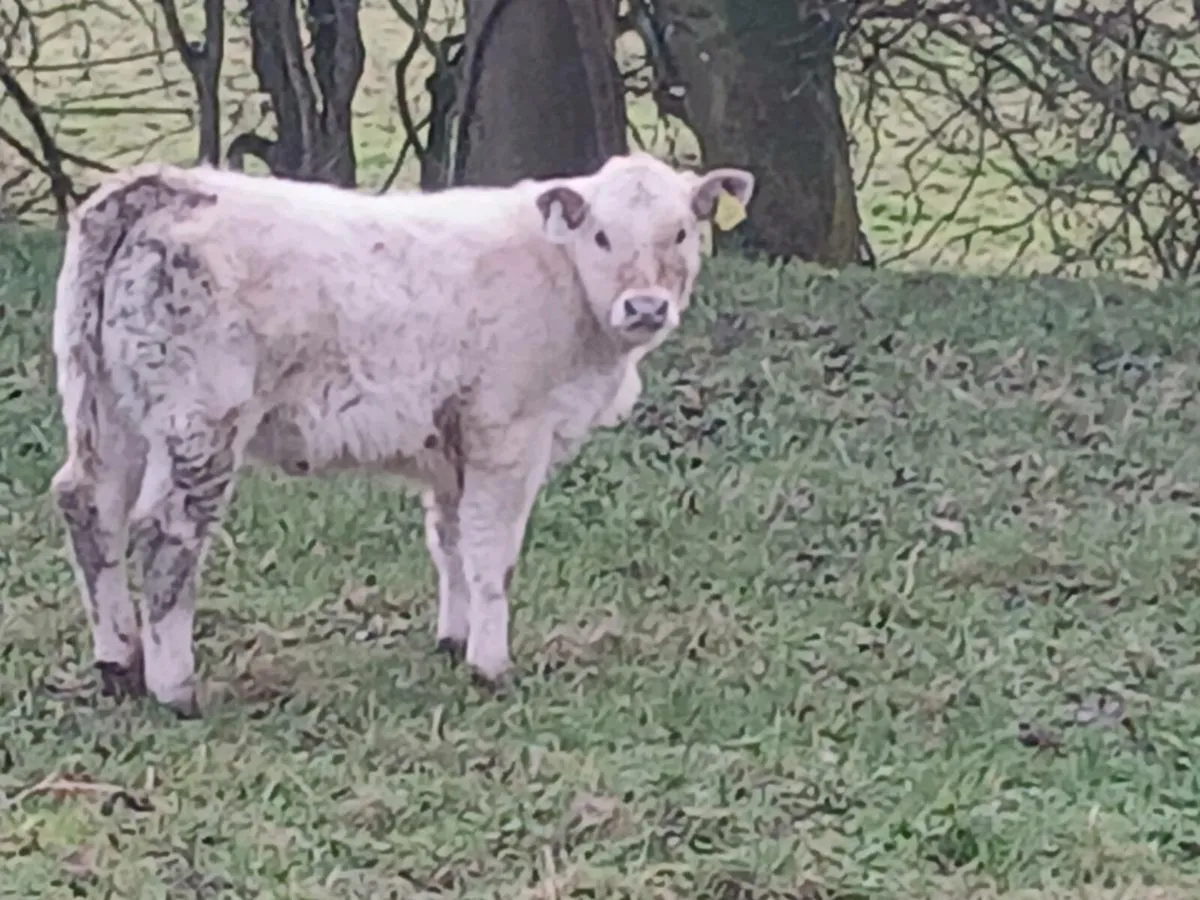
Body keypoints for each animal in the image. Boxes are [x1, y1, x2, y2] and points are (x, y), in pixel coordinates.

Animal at [48, 151, 755, 718]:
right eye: (602, 236)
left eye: (682, 232)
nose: (646, 307)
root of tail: (167, 185)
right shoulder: (508, 434)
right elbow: (491, 553)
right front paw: (491, 665)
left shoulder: (452, 450)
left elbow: (450, 543)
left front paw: (452, 641)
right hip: (199, 420)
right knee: (165, 533)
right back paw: (175, 688)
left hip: (103, 404)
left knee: (90, 506)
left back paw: (117, 665)